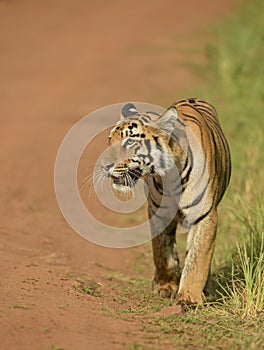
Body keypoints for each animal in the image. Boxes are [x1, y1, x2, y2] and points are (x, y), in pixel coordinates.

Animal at [100, 98, 231, 304]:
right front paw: (166, 286)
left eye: (130, 141)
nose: (103, 166)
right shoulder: (158, 212)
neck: (169, 175)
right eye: (109, 139)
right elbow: (162, 252)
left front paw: (188, 299)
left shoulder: (204, 215)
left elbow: (197, 258)